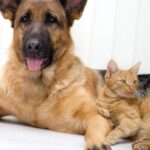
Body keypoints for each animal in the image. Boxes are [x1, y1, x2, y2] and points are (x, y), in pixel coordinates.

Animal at [0, 0, 112, 149]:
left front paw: (96, 142)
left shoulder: (95, 115)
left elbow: (94, 128)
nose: (33, 46)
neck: (39, 81)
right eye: (24, 19)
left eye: (51, 19)